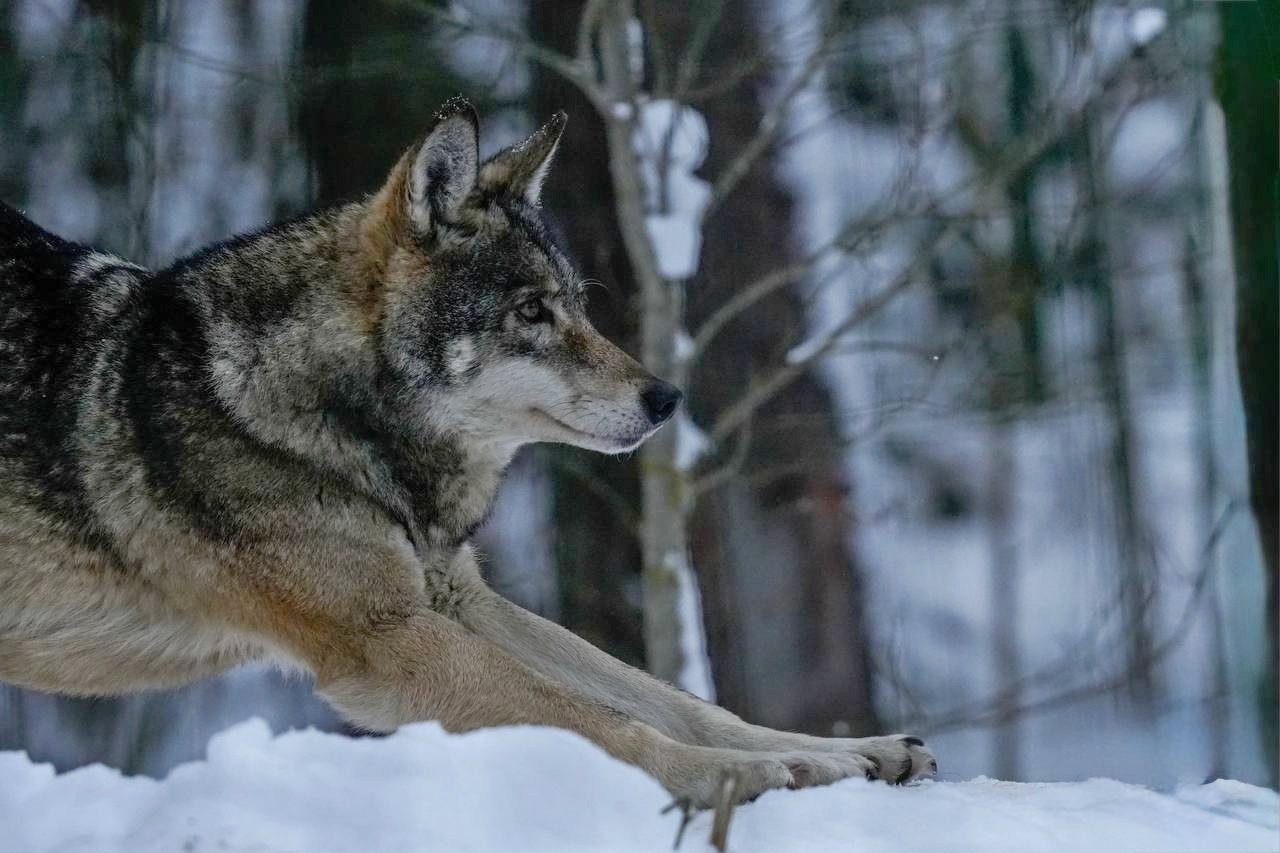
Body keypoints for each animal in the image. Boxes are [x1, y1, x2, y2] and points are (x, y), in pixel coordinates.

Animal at [0, 98, 933, 807]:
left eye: (578, 303)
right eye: (529, 311)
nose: (667, 399)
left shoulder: (459, 597)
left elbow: (670, 699)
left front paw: (842, 753)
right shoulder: (386, 638)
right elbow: (601, 719)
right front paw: (745, 774)